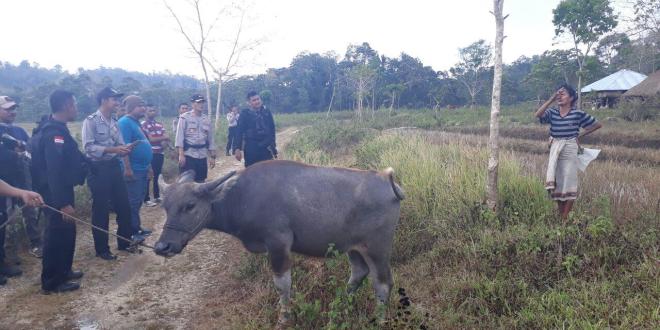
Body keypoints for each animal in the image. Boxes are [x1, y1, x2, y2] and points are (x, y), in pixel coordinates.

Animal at [155, 160, 404, 322]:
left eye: (190, 205)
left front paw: (284, 318)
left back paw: (379, 320)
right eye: (165, 207)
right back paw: (339, 306)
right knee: (359, 272)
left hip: (378, 248)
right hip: (353, 248)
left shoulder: (278, 244)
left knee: (382, 283)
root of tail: (387, 180)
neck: (242, 196)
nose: (162, 246)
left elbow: (282, 285)